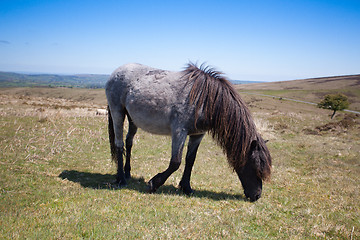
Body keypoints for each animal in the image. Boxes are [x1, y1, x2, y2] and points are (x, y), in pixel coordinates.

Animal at [105, 62, 272, 202]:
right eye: (255, 167)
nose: (257, 196)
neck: (205, 99)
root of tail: (115, 73)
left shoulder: (197, 135)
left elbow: (190, 160)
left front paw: (186, 187)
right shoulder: (179, 131)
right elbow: (175, 162)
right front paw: (154, 184)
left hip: (132, 119)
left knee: (129, 142)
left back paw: (127, 173)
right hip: (117, 112)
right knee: (119, 144)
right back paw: (121, 179)